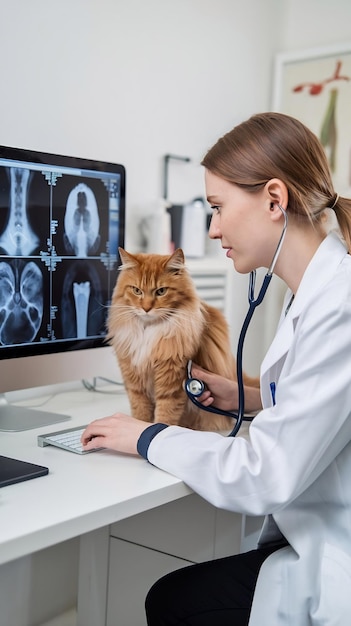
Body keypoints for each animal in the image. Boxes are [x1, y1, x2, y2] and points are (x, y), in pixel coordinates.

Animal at [107, 246, 258, 432]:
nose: (146, 308)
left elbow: (165, 413)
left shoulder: (172, 379)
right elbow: (140, 410)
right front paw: (139, 424)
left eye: (161, 291)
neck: (149, 331)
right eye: (137, 291)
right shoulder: (134, 379)